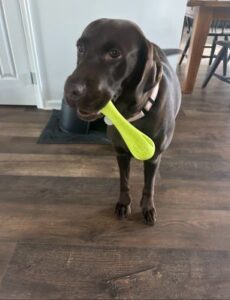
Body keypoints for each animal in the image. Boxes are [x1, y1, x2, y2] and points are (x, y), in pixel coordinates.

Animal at [63, 18, 181, 225]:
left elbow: (149, 185)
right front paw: (124, 203)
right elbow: (124, 181)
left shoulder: (153, 158)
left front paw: (147, 207)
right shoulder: (121, 154)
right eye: (80, 48)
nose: (70, 91)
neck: (131, 116)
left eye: (114, 53)